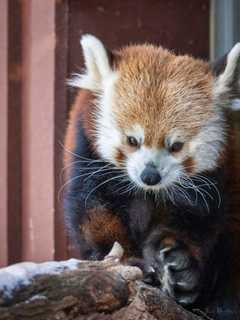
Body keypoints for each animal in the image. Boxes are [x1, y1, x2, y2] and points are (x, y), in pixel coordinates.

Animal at [63, 34, 240, 318]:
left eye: (176, 145)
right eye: (132, 140)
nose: (150, 176)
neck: (147, 192)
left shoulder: (212, 180)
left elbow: (196, 221)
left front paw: (181, 264)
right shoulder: (87, 157)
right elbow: (94, 214)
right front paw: (126, 261)